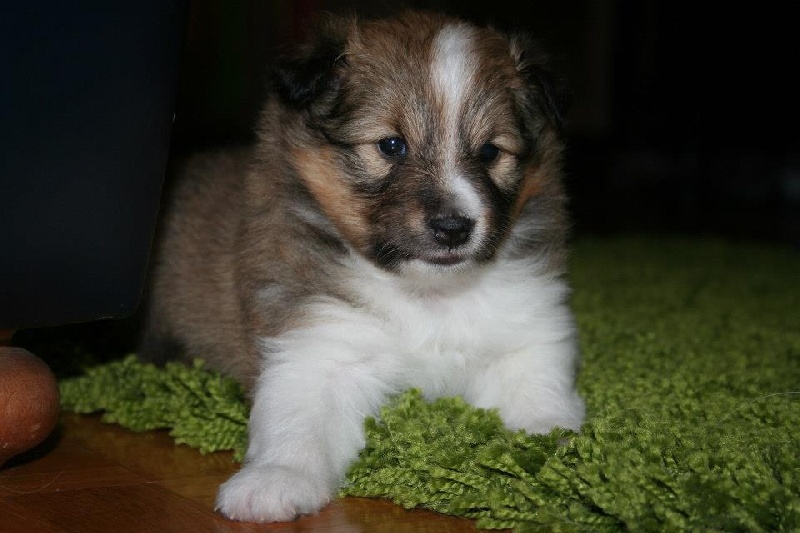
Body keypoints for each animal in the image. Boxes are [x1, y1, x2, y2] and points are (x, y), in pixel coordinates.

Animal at [141, 10, 585, 523]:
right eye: (391, 145)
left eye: (491, 151)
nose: (453, 228)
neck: (426, 295)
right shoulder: (316, 343)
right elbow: (297, 424)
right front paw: (275, 481)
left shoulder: (526, 334)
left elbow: (538, 389)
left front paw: (555, 439)